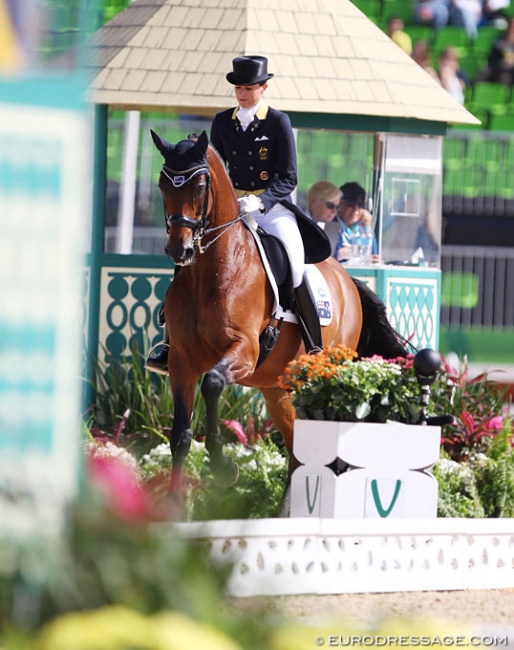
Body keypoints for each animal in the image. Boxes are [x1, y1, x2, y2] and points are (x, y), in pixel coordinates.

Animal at [150, 130, 406, 496]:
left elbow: (212, 383)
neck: (212, 271)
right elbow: (181, 437)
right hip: (279, 389)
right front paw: (174, 504)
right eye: (163, 185)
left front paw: (223, 467)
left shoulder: (244, 350)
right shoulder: (181, 362)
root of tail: (347, 279)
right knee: (298, 452)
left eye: (199, 186)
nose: (179, 250)